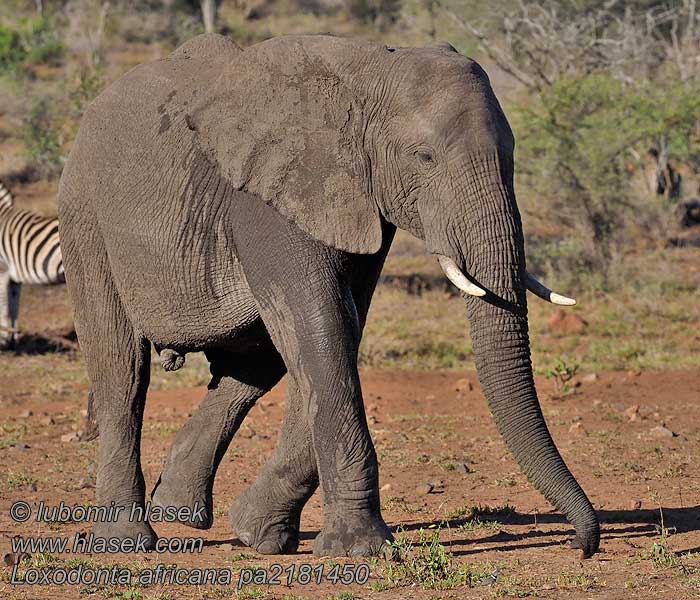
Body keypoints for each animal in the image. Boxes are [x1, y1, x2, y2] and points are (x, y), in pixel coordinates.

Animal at [0, 178, 63, 346]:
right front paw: (13, 339)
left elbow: (3, 307)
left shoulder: (2, 270)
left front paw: (3, 340)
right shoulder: (14, 279)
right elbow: (13, 308)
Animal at [57, 32, 600, 556]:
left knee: (253, 365)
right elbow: (321, 326)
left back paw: (181, 513)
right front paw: (360, 549)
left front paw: (260, 534)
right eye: (424, 158)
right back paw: (126, 541)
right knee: (122, 371)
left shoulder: (362, 199)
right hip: (84, 212)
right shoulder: (268, 196)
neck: (369, 71)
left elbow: (336, 331)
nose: (582, 545)